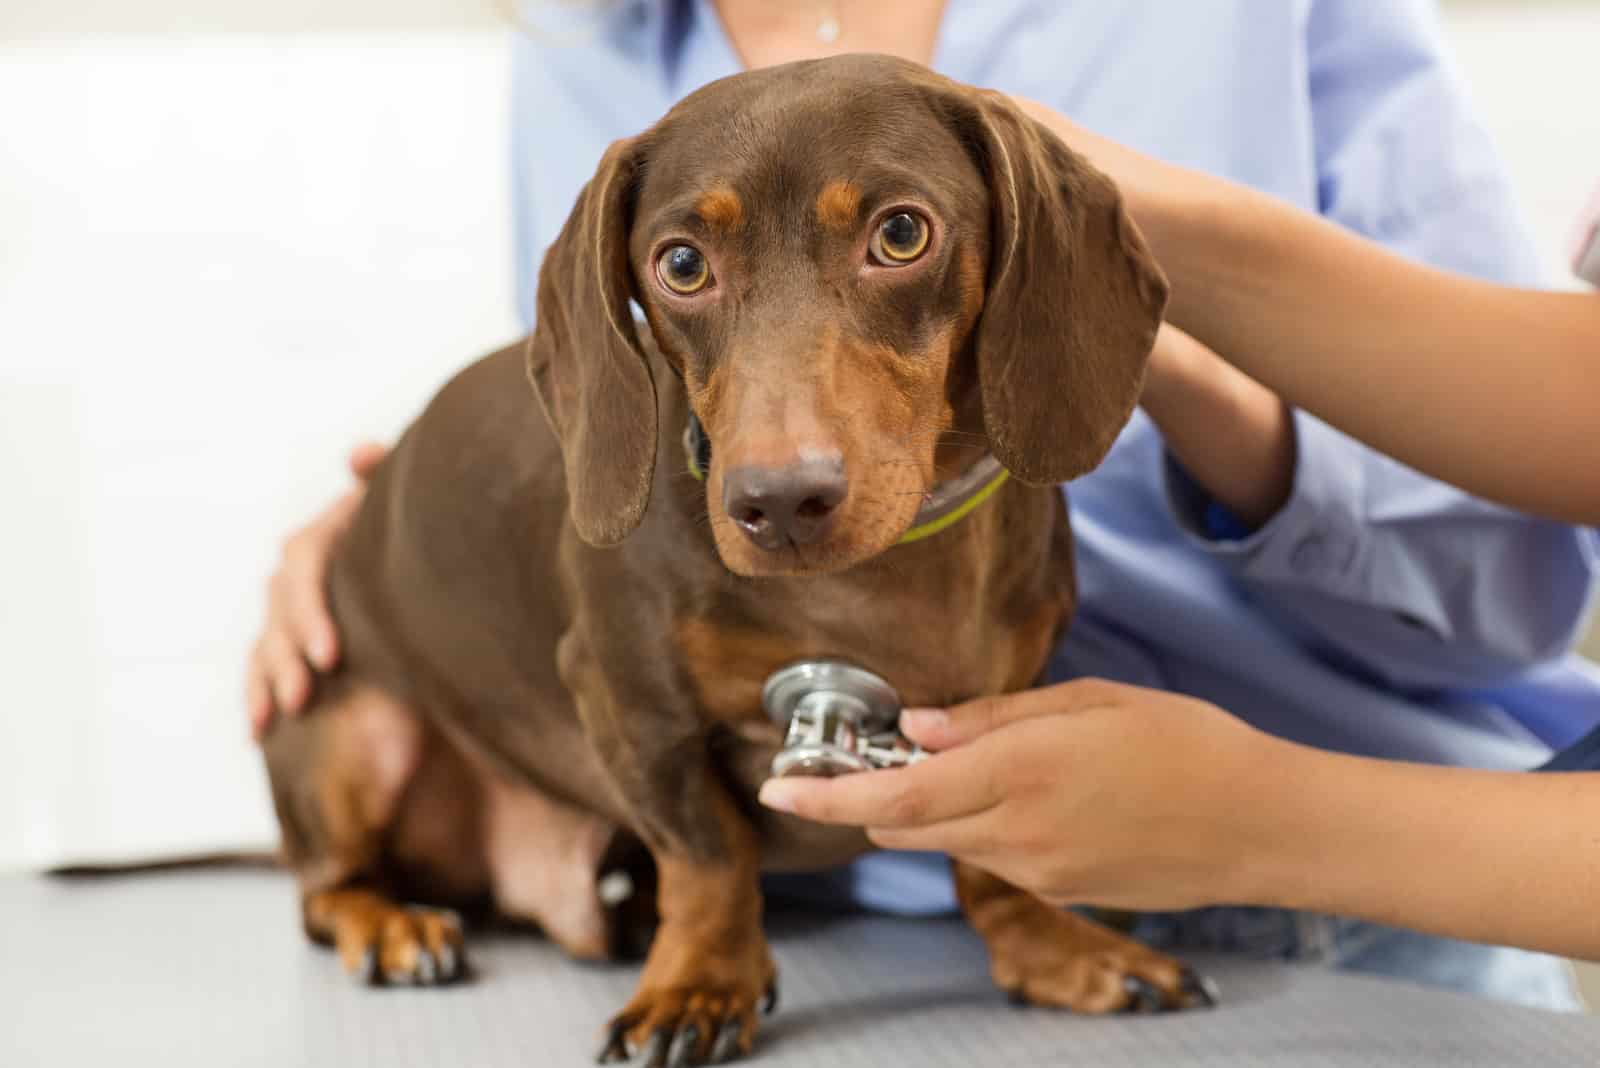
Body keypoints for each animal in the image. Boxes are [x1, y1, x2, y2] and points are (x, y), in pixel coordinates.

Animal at [265, 51, 1209, 1068]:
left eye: (901, 232)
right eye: (682, 263)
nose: (780, 504)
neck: (869, 584)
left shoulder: (1004, 707)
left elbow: (992, 857)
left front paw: (1054, 947)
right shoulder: (629, 703)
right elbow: (709, 856)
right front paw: (698, 985)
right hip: (347, 731)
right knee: (325, 889)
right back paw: (395, 926)